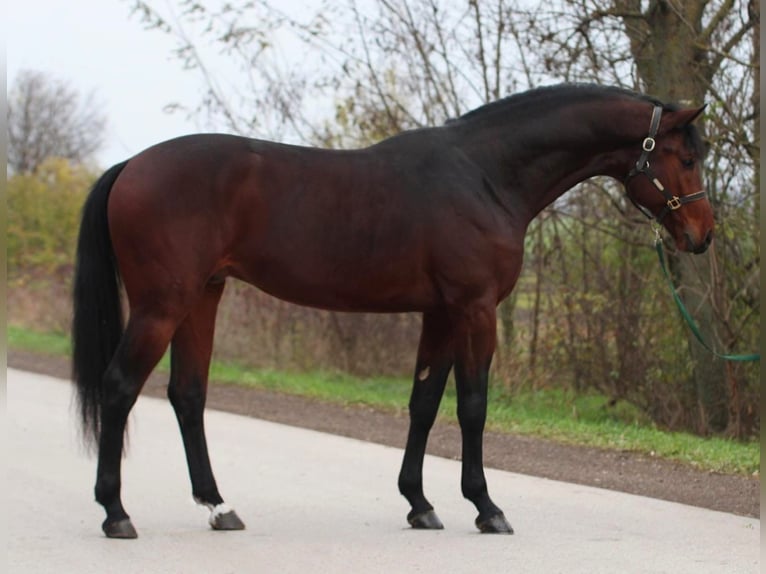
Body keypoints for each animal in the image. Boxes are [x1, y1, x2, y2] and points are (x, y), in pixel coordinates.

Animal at [70, 84, 712, 540]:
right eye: (684, 156)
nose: (702, 236)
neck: (485, 174)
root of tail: (131, 165)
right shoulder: (475, 310)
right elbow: (473, 406)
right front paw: (486, 507)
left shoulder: (441, 313)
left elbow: (424, 402)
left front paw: (420, 503)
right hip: (162, 304)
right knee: (120, 387)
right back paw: (115, 513)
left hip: (204, 295)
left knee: (188, 394)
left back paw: (218, 506)